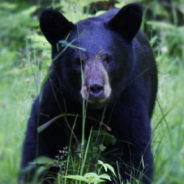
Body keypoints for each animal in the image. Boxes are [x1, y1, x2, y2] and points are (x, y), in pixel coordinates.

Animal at [20, 3, 158, 184]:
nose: (95, 88)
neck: (92, 110)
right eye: (78, 61)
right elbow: (41, 143)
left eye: (107, 58)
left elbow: (132, 153)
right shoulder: (57, 97)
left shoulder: (128, 98)